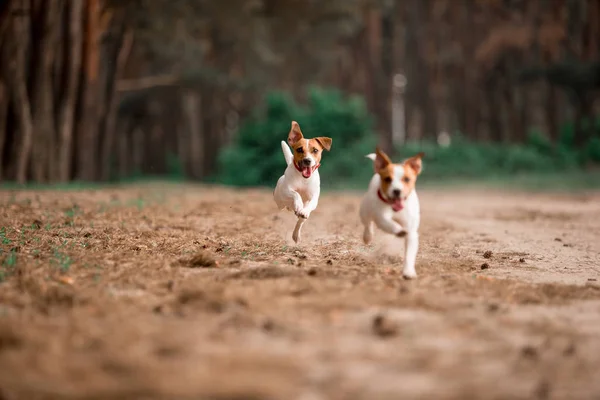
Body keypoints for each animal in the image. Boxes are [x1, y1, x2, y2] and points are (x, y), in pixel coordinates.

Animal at [358, 147, 424, 278]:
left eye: (407, 179)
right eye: (388, 179)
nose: (397, 191)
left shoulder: (411, 232)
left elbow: (409, 254)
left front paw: (408, 272)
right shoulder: (381, 217)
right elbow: (389, 223)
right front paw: (398, 230)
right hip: (365, 211)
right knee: (368, 224)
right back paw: (368, 237)